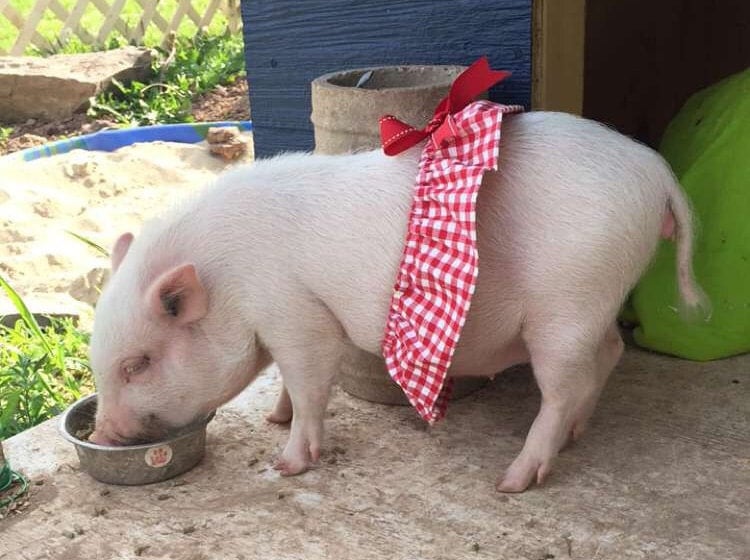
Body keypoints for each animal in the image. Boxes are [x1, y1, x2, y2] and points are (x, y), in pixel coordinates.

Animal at [88, 111, 705, 492]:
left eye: (138, 363)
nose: (100, 435)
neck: (228, 277)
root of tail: (657, 173)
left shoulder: (296, 311)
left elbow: (309, 382)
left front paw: (287, 464)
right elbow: (289, 383)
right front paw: (271, 417)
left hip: (568, 304)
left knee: (563, 388)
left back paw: (512, 481)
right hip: (596, 298)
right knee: (610, 354)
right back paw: (576, 435)